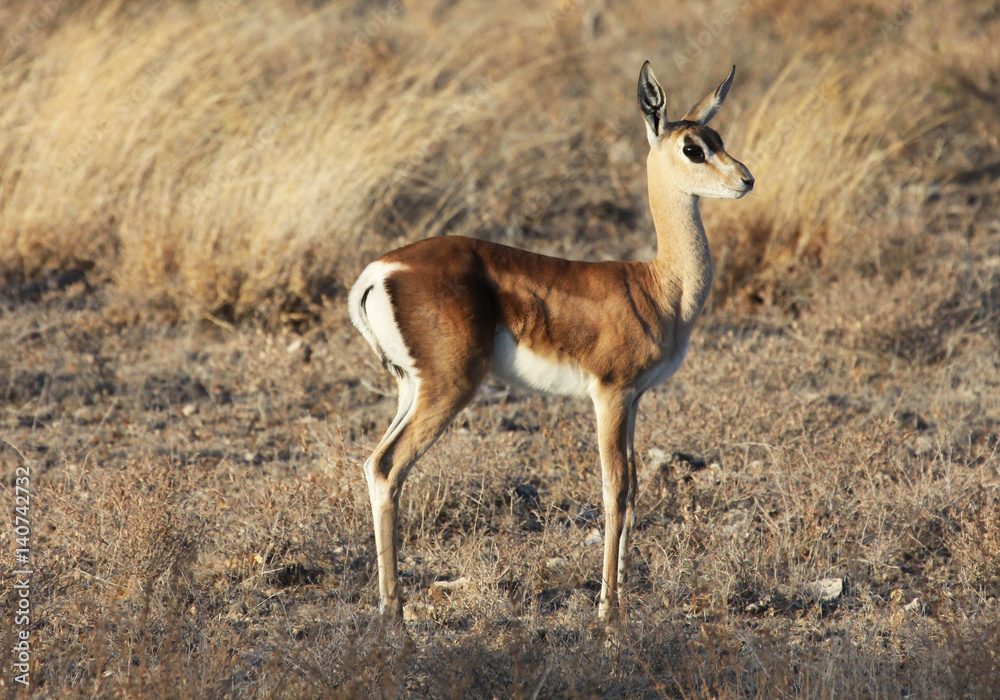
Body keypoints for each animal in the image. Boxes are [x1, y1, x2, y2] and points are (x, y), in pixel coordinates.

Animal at [348, 61, 753, 627]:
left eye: (718, 138)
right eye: (693, 148)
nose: (746, 179)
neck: (658, 286)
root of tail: (380, 270)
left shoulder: (635, 399)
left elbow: (634, 486)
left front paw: (622, 593)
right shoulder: (609, 394)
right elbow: (614, 489)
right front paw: (609, 612)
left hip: (413, 388)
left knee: (373, 464)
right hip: (451, 387)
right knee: (388, 467)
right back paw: (394, 616)